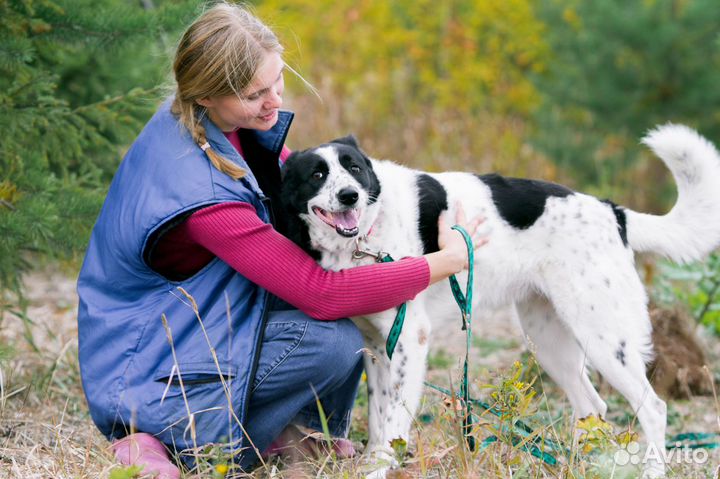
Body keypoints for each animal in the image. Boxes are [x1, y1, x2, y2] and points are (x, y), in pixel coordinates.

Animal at [278, 124, 716, 476]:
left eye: (354, 168)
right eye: (317, 174)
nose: (350, 196)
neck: (364, 238)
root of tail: (613, 211)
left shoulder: (408, 341)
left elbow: (394, 422)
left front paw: (381, 468)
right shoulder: (375, 347)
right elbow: (378, 418)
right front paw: (373, 461)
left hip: (604, 337)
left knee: (653, 408)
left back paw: (651, 470)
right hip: (550, 341)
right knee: (593, 406)